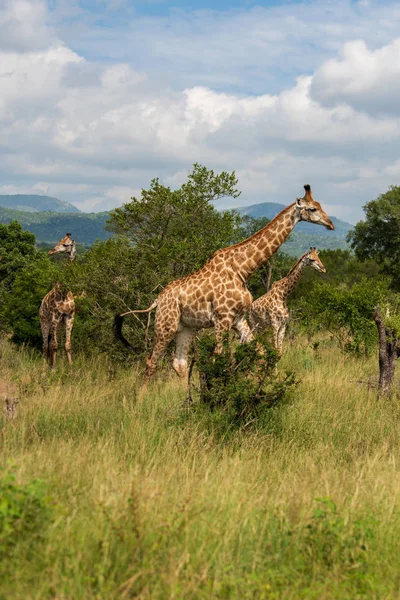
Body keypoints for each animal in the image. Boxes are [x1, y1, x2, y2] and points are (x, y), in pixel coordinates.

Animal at [40, 233, 77, 366]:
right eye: (59, 242)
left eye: (65, 244)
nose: (51, 251)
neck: (65, 291)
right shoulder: (55, 318)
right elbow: (54, 345)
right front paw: (54, 369)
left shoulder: (69, 317)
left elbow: (67, 345)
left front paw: (71, 368)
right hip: (44, 321)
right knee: (46, 345)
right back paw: (44, 368)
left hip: (59, 325)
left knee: (51, 343)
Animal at [115, 183, 334, 380]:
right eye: (312, 208)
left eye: (320, 204)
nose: (330, 224)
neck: (242, 269)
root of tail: (157, 300)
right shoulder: (222, 319)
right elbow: (218, 359)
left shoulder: (239, 319)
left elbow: (262, 352)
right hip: (165, 325)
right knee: (151, 361)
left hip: (187, 327)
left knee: (179, 363)